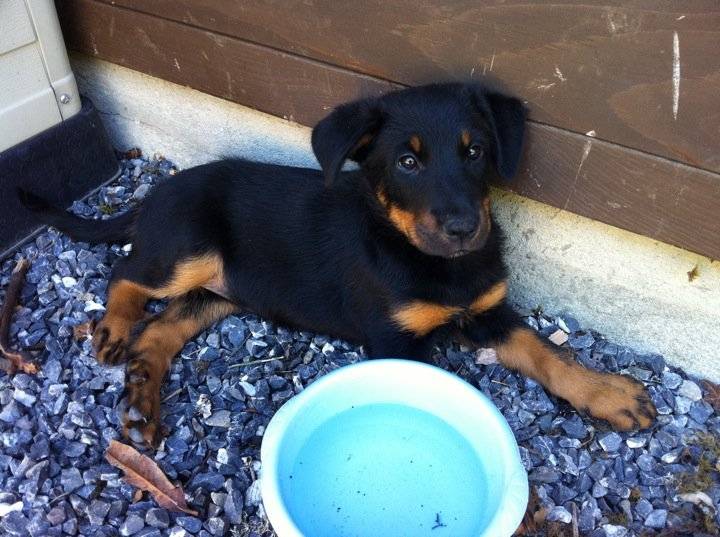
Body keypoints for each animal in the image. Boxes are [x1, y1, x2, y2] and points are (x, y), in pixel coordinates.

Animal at [20, 82, 655, 446]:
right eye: (406, 162)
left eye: (474, 151)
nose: (462, 229)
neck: (426, 259)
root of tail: (153, 197)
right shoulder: (396, 342)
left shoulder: (489, 311)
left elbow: (548, 353)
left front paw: (607, 394)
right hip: (187, 251)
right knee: (126, 276)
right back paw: (113, 329)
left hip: (220, 292)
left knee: (161, 331)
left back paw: (140, 405)